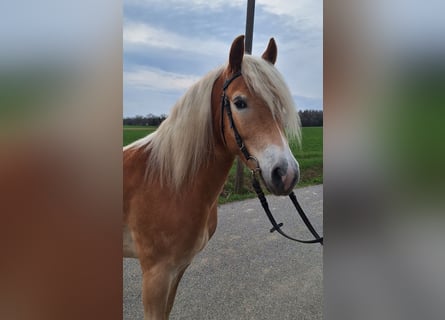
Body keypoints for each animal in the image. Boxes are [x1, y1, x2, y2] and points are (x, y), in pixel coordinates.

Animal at [123, 35, 300, 320]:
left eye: (280, 105)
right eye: (239, 102)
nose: (286, 174)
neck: (169, 181)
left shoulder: (177, 269)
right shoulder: (155, 276)